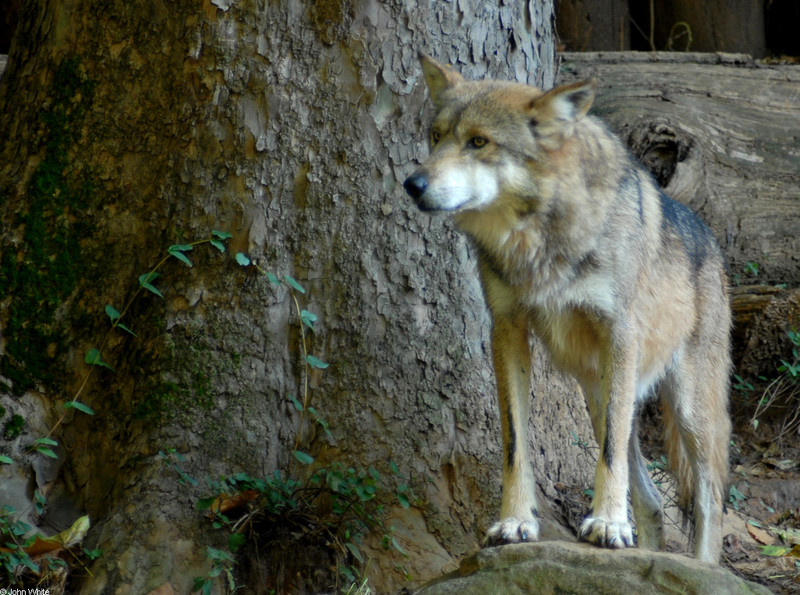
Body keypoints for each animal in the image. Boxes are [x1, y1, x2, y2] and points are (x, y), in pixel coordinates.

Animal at [406, 54, 732, 564]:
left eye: (478, 141)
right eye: (436, 137)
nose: (411, 183)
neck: (536, 240)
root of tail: (712, 241)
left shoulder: (620, 333)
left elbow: (610, 456)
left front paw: (608, 524)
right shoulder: (507, 329)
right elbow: (515, 444)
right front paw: (516, 522)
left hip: (688, 410)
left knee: (709, 501)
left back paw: (699, 565)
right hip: (602, 394)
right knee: (653, 500)